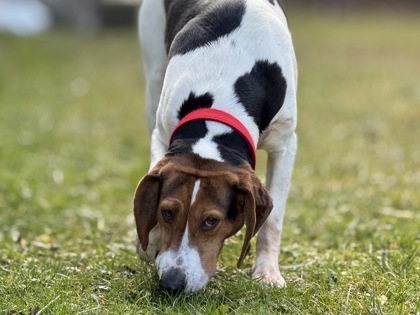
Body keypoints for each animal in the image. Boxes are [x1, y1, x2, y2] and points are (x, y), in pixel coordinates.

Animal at [133, 0, 296, 294]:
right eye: (167, 212)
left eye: (211, 221)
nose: (172, 284)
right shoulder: (161, 136)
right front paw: (149, 241)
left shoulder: (285, 144)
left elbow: (273, 221)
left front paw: (267, 272)